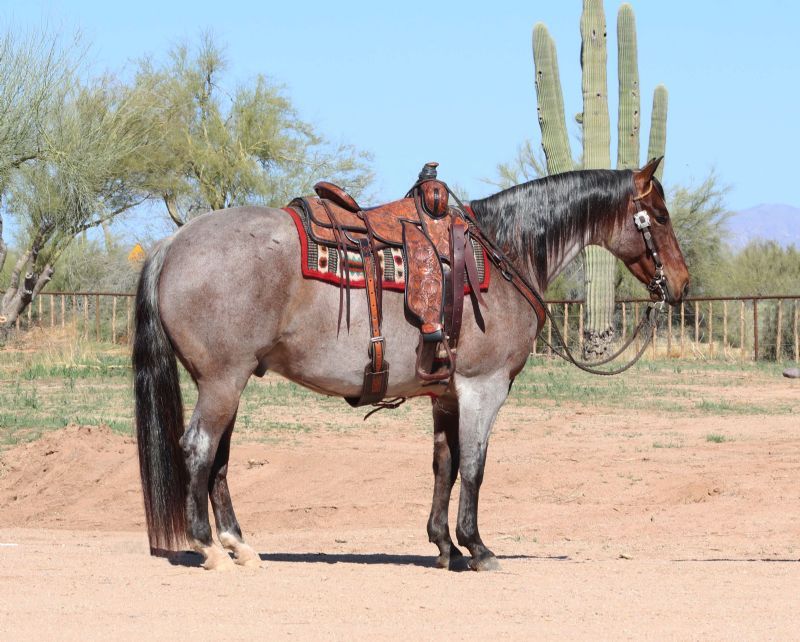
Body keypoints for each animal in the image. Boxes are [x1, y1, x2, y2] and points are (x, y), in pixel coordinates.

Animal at [133, 156, 689, 571]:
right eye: (659, 216)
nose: (681, 284)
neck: (505, 253)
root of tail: (172, 243)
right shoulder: (483, 388)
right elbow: (475, 467)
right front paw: (478, 547)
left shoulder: (446, 394)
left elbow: (445, 465)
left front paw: (445, 546)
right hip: (222, 381)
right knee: (199, 449)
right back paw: (209, 548)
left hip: (228, 382)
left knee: (219, 460)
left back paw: (238, 545)